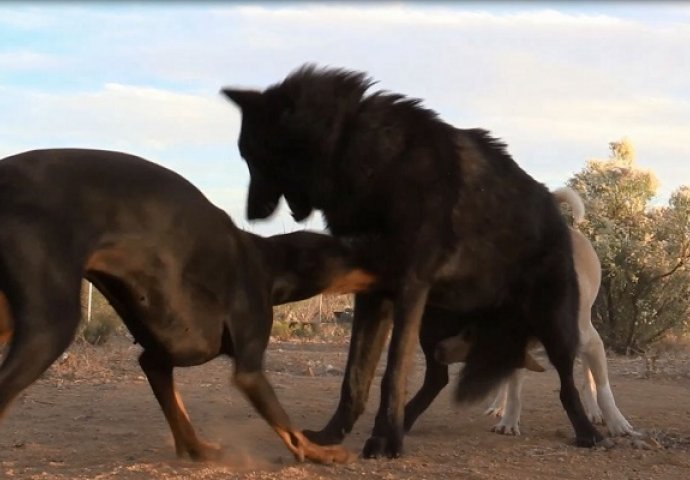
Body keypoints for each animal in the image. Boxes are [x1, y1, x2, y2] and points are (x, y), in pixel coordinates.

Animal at [0, 148, 376, 464]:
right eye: (350, 251)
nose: (383, 257)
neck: (267, 263)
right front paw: (319, 453)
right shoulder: (248, 369)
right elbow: (287, 425)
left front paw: (196, 449)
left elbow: (176, 408)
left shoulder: (158, 358)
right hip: (50, 325)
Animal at [222, 63, 600, 458]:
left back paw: (588, 430)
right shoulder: (373, 293)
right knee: (439, 376)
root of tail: (558, 214)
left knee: (567, 381)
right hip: (436, 327)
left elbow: (392, 375)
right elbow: (355, 378)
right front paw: (333, 435)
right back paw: (408, 420)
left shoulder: (408, 286)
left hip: (554, 324)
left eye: (252, 157)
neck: (360, 151)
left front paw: (384, 440)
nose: (249, 215)